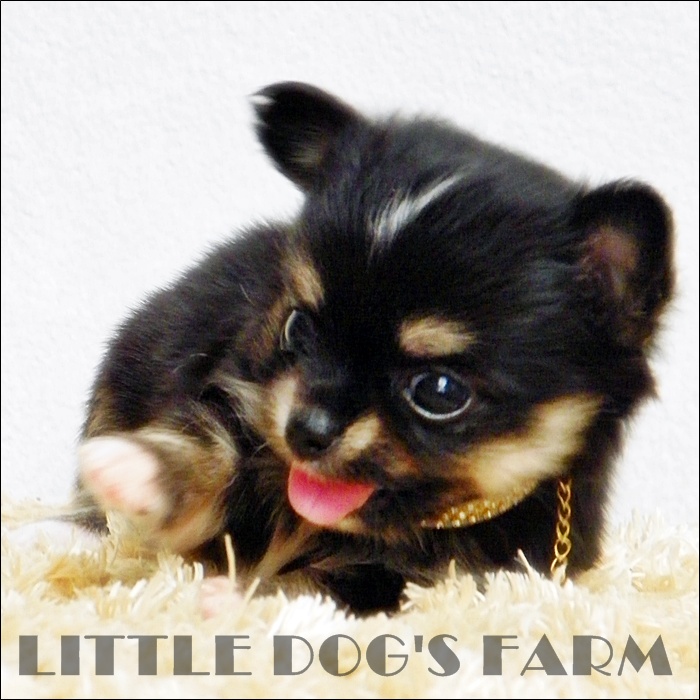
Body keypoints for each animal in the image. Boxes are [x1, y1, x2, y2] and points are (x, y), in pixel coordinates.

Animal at [74, 82, 674, 613]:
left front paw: (245, 600)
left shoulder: (457, 577)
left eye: (440, 390)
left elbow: (344, 585)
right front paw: (138, 470)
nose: (305, 432)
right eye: (297, 328)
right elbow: (213, 448)